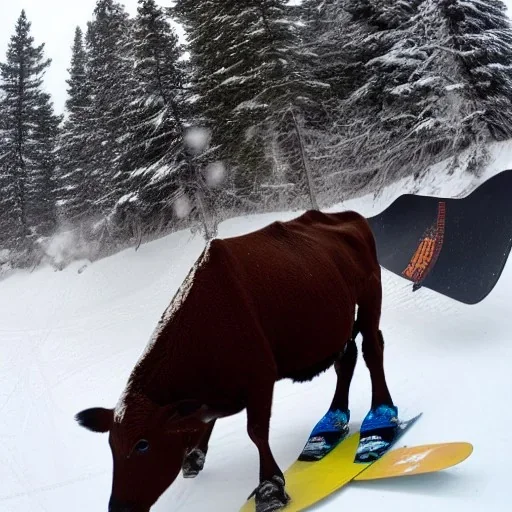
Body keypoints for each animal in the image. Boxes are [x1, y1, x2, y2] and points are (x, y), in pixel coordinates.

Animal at [76, 209, 394, 512]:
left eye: (142, 445)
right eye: (111, 445)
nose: (119, 507)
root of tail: (347, 216)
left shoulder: (260, 377)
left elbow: (256, 432)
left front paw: (270, 487)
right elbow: (208, 423)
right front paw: (195, 455)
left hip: (370, 292)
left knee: (372, 350)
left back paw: (381, 419)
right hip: (337, 326)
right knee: (347, 360)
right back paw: (333, 422)